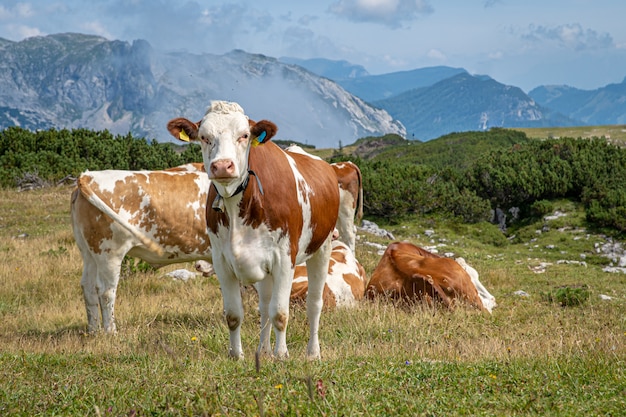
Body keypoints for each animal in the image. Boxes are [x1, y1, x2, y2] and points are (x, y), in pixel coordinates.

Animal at [70, 162, 211, 332]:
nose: (198, 265)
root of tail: (88, 176)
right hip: (110, 252)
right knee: (105, 291)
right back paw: (111, 332)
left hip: (89, 252)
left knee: (88, 287)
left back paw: (93, 331)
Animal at [166, 100, 338, 358]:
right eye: (204, 137)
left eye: (244, 135)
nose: (222, 166)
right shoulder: (222, 262)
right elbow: (234, 315)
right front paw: (236, 355)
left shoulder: (284, 258)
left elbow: (280, 313)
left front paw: (282, 355)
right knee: (264, 306)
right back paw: (263, 351)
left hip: (322, 247)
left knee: (313, 304)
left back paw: (312, 353)